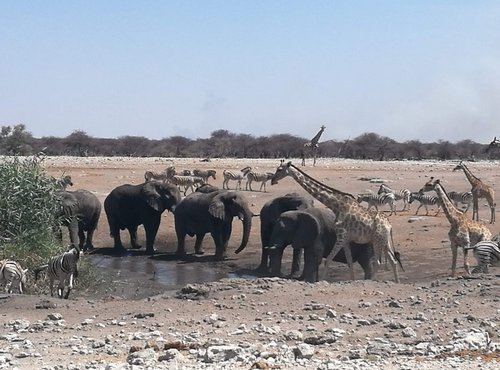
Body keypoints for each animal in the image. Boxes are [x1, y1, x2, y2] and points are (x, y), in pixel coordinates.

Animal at [272, 160, 400, 282]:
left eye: (280, 169)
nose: (273, 181)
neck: (337, 206)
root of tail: (390, 225)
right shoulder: (346, 239)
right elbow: (349, 262)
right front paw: (352, 280)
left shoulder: (341, 236)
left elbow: (328, 260)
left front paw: (321, 280)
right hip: (384, 241)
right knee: (393, 260)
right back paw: (397, 281)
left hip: (377, 240)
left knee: (378, 263)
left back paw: (372, 280)